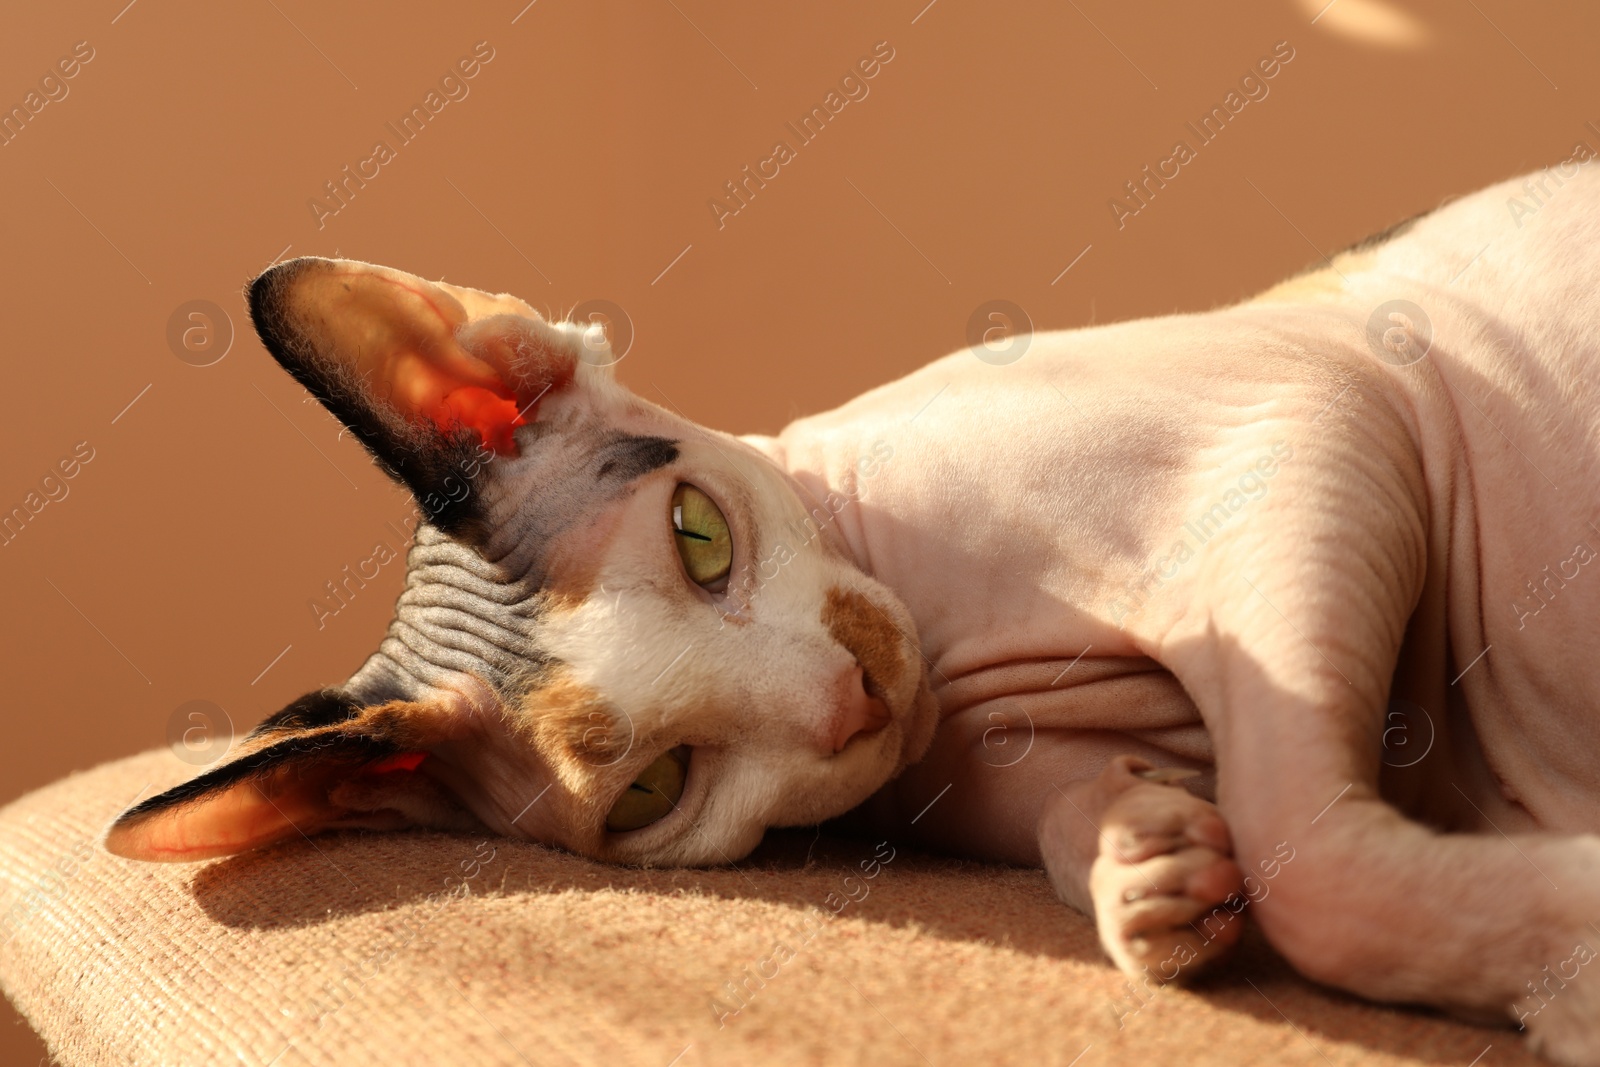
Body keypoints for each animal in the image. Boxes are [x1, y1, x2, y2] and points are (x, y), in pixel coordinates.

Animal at [116, 164, 1600, 1062]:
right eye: (654, 788)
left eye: (699, 534)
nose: (851, 698)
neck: (958, 658)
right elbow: (1182, 823)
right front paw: (1147, 865)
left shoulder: (1318, 412)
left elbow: (1317, 863)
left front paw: (1571, 955)